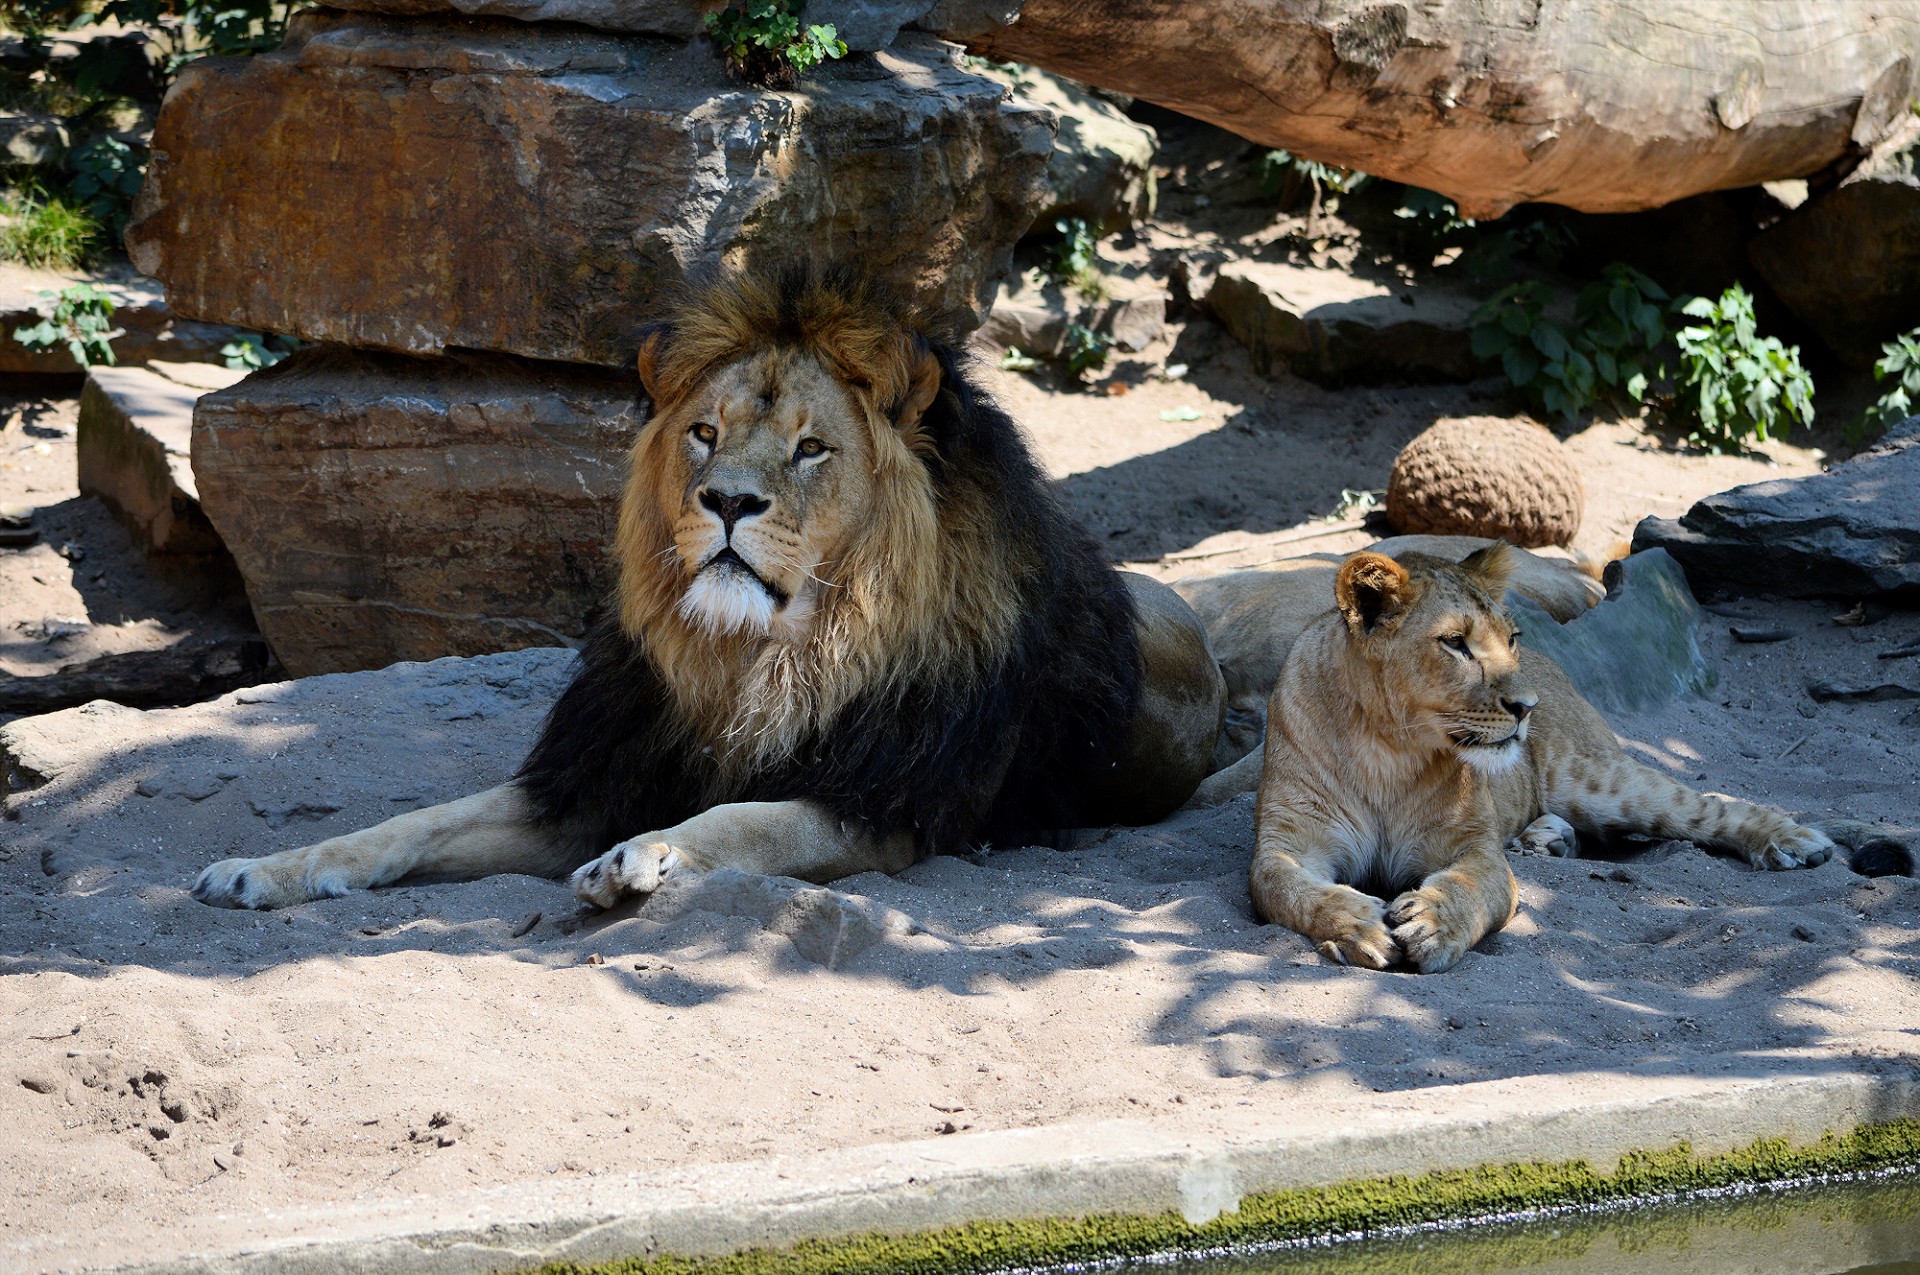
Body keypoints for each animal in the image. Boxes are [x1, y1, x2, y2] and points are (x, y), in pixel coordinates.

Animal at [187, 268, 1221, 910]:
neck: (752, 656)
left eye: (812, 447)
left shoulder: (885, 809)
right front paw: (261, 869)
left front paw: (639, 855)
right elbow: (407, 823)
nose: (725, 500)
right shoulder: (593, 773)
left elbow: (745, 820)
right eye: (704, 434)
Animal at [1244, 549, 1827, 975]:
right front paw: (1357, 927)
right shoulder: (1290, 840)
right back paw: (1545, 840)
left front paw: (1433, 924)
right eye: (1455, 643)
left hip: (1595, 778)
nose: (1527, 707)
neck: (1388, 748)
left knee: (1708, 805)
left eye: (1511, 638)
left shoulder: (1472, 845)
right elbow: (1282, 887)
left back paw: (1794, 841)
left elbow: (1475, 887)